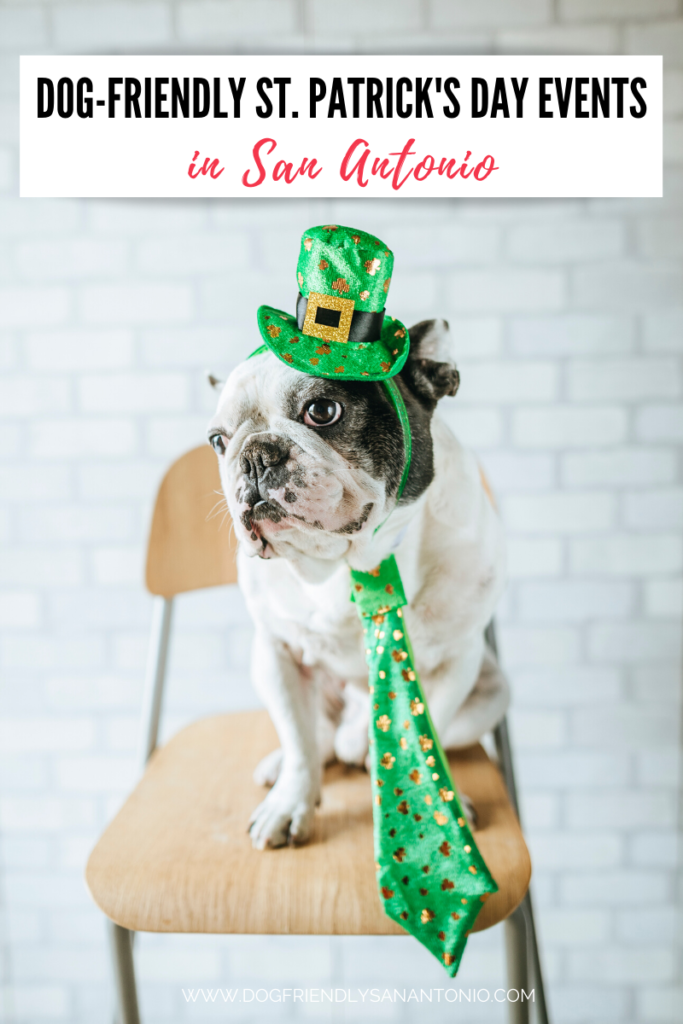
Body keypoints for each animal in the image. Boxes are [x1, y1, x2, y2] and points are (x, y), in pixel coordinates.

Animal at [208, 317, 507, 847]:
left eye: (323, 410)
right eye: (218, 441)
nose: (255, 454)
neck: (353, 561)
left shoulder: (458, 662)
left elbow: (431, 725)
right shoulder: (277, 652)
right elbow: (299, 741)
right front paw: (290, 804)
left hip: (493, 692)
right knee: (317, 739)